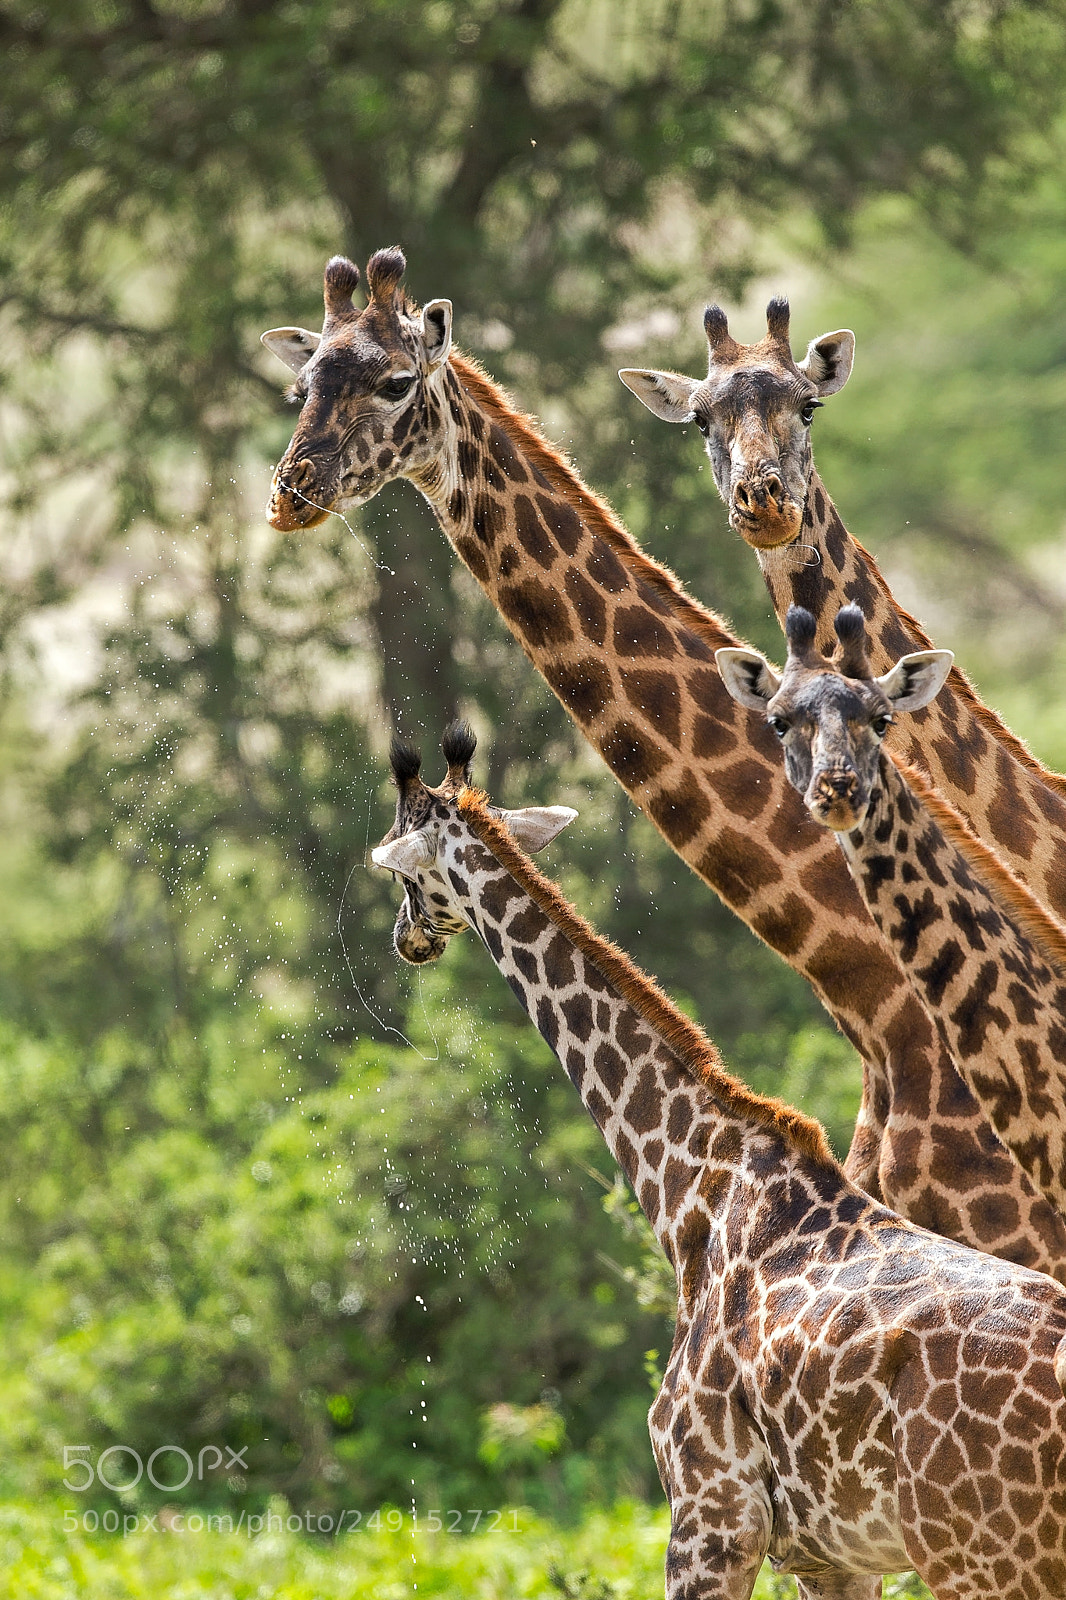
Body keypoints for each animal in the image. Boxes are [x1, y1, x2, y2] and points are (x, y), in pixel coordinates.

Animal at [371, 723, 1066, 1600]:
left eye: (402, 861)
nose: (407, 941)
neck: (685, 1186)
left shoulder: (709, 1516)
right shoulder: (830, 1555)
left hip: (980, 1554)